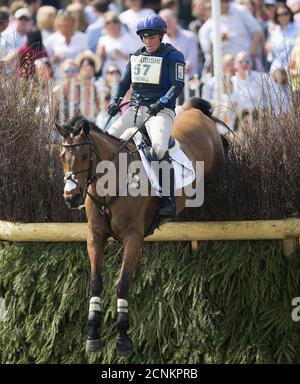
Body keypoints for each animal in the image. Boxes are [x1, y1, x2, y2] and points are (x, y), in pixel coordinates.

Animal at [55, 97, 225, 356]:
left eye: (84, 155)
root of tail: (196, 110)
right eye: (62, 156)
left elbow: (122, 284)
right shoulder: (95, 236)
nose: (70, 197)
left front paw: (123, 340)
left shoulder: (133, 238)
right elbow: (95, 282)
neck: (110, 187)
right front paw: (92, 335)